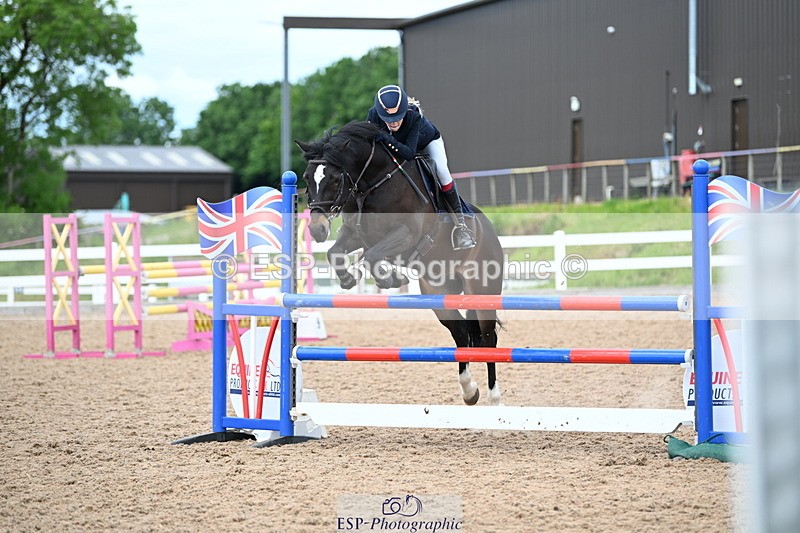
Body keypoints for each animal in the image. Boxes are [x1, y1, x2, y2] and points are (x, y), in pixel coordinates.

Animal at [295, 121, 505, 405]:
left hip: (482, 290)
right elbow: (336, 253)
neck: (372, 183)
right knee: (461, 332)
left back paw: (494, 398)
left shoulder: (405, 234)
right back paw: (469, 390)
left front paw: (389, 278)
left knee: (487, 337)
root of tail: (489, 229)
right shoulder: (355, 234)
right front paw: (351, 278)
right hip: (439, 292)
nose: (317, 230)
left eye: (336, 179)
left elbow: (373, 256)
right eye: (307, 178)